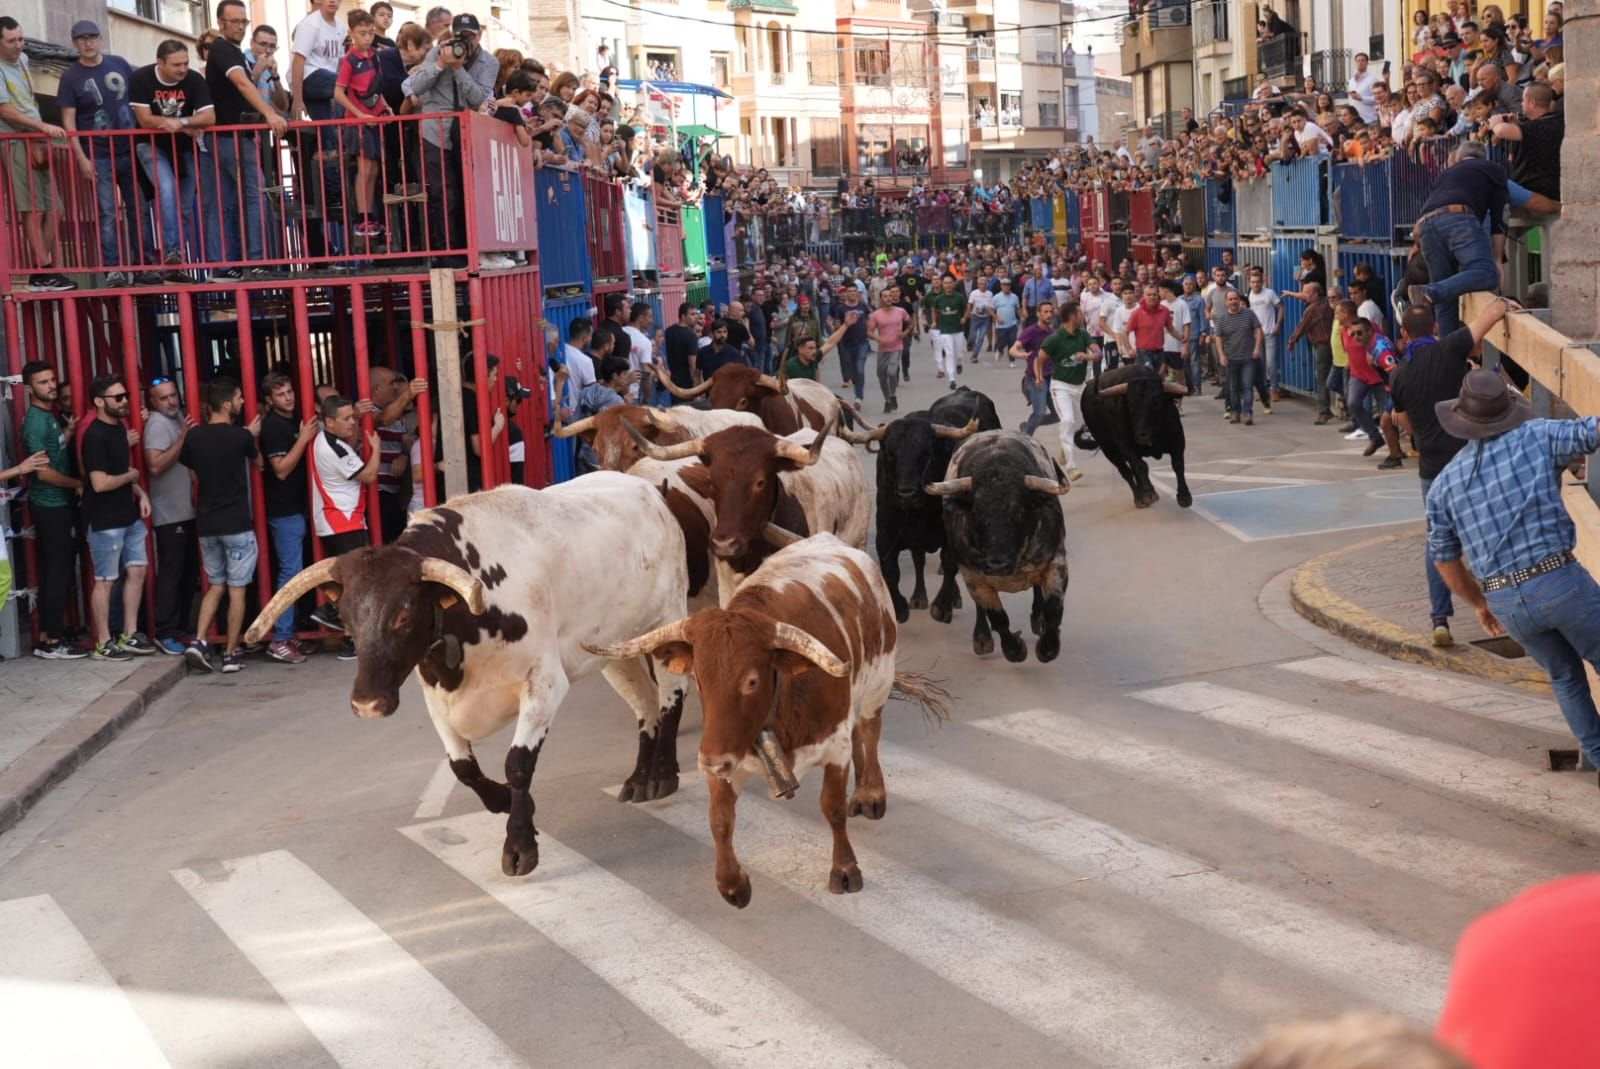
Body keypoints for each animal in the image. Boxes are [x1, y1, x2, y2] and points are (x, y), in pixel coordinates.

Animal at [248, 476, 694, 876]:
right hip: (614, 649)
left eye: (404, 615)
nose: (368, 703)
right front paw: (506, 803)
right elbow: (462, 768)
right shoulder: (436, 698)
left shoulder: (544, 683)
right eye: (345, 618)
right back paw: (639, 778)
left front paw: (519, 845)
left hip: (668, 619)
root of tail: (650, 489)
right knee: (645, 704)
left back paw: (664, 776)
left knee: (671, 698)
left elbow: (517, 764)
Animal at [588, 537, 940, 908]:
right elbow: (720, 819)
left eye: (752, 681)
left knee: (869, 731)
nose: (710, 762)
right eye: (698, 678)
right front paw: (732, 884)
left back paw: (870, 793)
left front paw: (845, 869)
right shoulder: (725, 750)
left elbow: (832, 808)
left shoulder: (835, 747)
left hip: (878, 681)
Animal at [1068, 368, 1196, 508]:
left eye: (1157, 403)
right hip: (1108, 449)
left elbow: (1178, 464)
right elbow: (1141, 466)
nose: (1142, 436)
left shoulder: (1178, 439)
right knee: (1126, 472)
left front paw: (1184, 496)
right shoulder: (1125, 445)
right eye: (1130, 405)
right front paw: (1149, 493)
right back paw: (1139, 498)